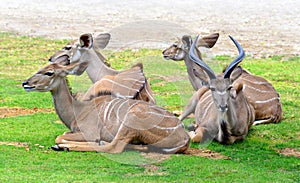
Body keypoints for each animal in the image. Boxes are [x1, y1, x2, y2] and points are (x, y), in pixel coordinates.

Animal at [21, 62, 190, 154]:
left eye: (49, 72)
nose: (25, 83)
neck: (78, 110)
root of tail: (185, 137)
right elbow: (63, 134)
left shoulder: (89, 133)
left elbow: (60, 136)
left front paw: (61, 144)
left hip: (130, 121)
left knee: (113, 147)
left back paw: (65, 147)